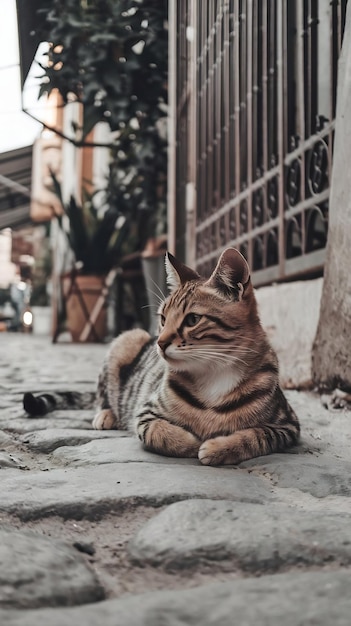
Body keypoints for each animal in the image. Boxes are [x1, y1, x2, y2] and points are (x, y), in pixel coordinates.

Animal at [24, 249, 300, 464]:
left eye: (192, 319)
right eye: (163, 319)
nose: (160, 342)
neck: (215, 373)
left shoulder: (288, 425)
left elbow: (257, 436)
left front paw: (218, 447)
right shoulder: (146, 412)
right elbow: (161, 432)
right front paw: (192, 442)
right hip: (127, 339)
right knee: (102, 396)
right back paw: (106, 414)